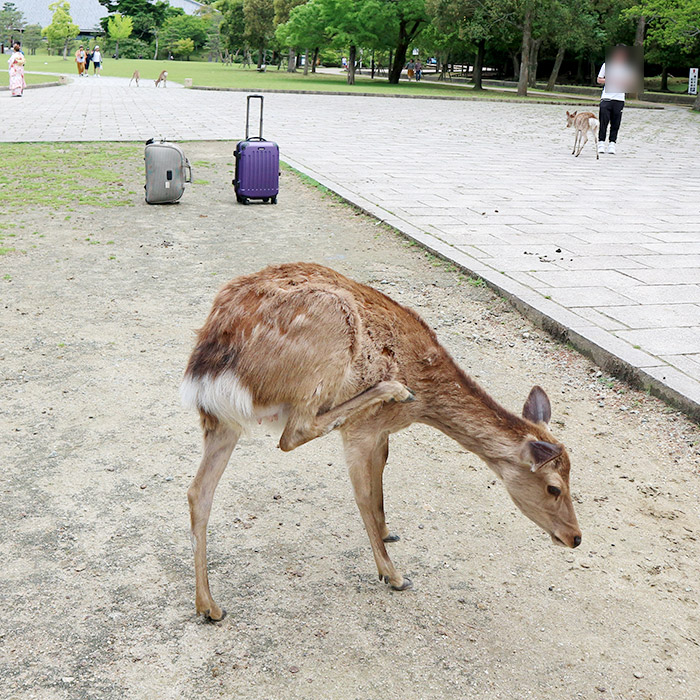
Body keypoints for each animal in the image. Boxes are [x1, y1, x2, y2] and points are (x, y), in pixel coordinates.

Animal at [182, 262, 584, 616]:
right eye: (553, 487)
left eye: (572, 479)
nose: (575, 537)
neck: (426, 397)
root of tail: (206, 367)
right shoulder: (362, 431)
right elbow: (364, 496)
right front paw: (393, 574)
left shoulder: (382, 434)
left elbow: (380, 485)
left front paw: (388, 532)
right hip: (329, 333)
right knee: (293, 433)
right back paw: (394, 389)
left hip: (221, 421)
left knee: (198, 490)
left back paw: (209, 606)